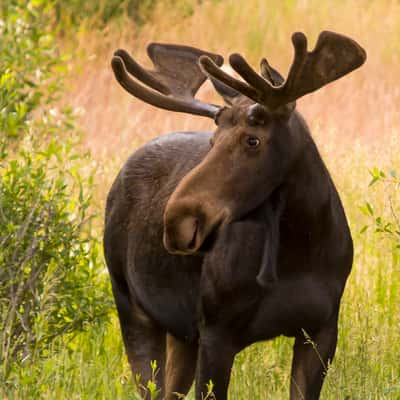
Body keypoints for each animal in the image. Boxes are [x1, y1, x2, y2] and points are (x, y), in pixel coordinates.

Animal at [104, 32, 368, 400]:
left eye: (252, 140)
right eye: (213, 140)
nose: (176, 222)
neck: (298, 251)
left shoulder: (322, 330)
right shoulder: (216, 333)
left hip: (182, 335)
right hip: (132, 308)